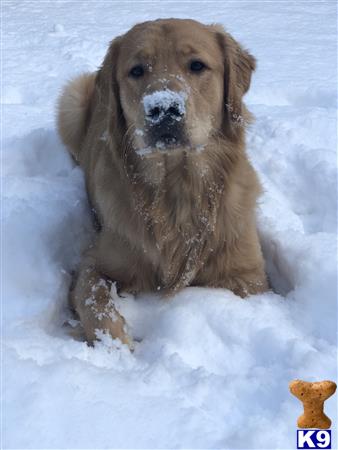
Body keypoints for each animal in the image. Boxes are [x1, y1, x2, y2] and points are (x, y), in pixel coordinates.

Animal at [58, 18, 270, 348]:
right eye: (136, 70)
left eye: (197, 65)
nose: (164, 109)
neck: (177, 190)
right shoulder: (95, 262)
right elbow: (96, 302)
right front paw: (118, 348)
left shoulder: (249, 276)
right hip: (71, 102)